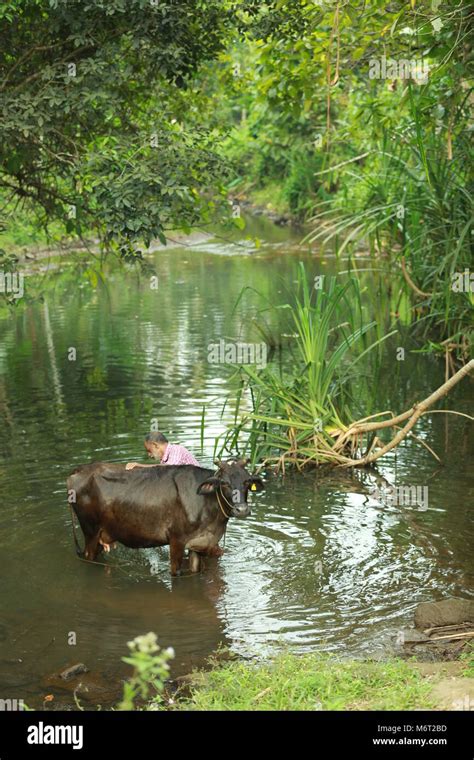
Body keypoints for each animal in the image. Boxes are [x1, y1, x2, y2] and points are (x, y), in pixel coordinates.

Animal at [66, 458, 262, 576]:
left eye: (246, 481)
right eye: (224, 483)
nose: (242, 510)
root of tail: (78, 471)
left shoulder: (198, 544)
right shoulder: (176, 540)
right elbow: (175, 572)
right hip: (90, 532)